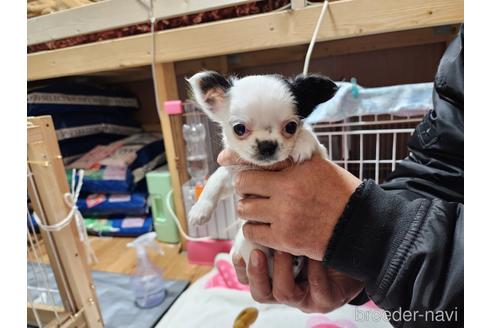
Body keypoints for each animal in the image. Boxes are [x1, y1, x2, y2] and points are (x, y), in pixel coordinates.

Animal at [186, 72, 336, 276]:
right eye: (239, 129)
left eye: (291, 127)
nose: (267, 145)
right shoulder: (232, 173)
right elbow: (214, 183)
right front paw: (199, 210)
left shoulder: (323, 154)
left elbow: (310, 137)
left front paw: (302, 144)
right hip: (252, 242)